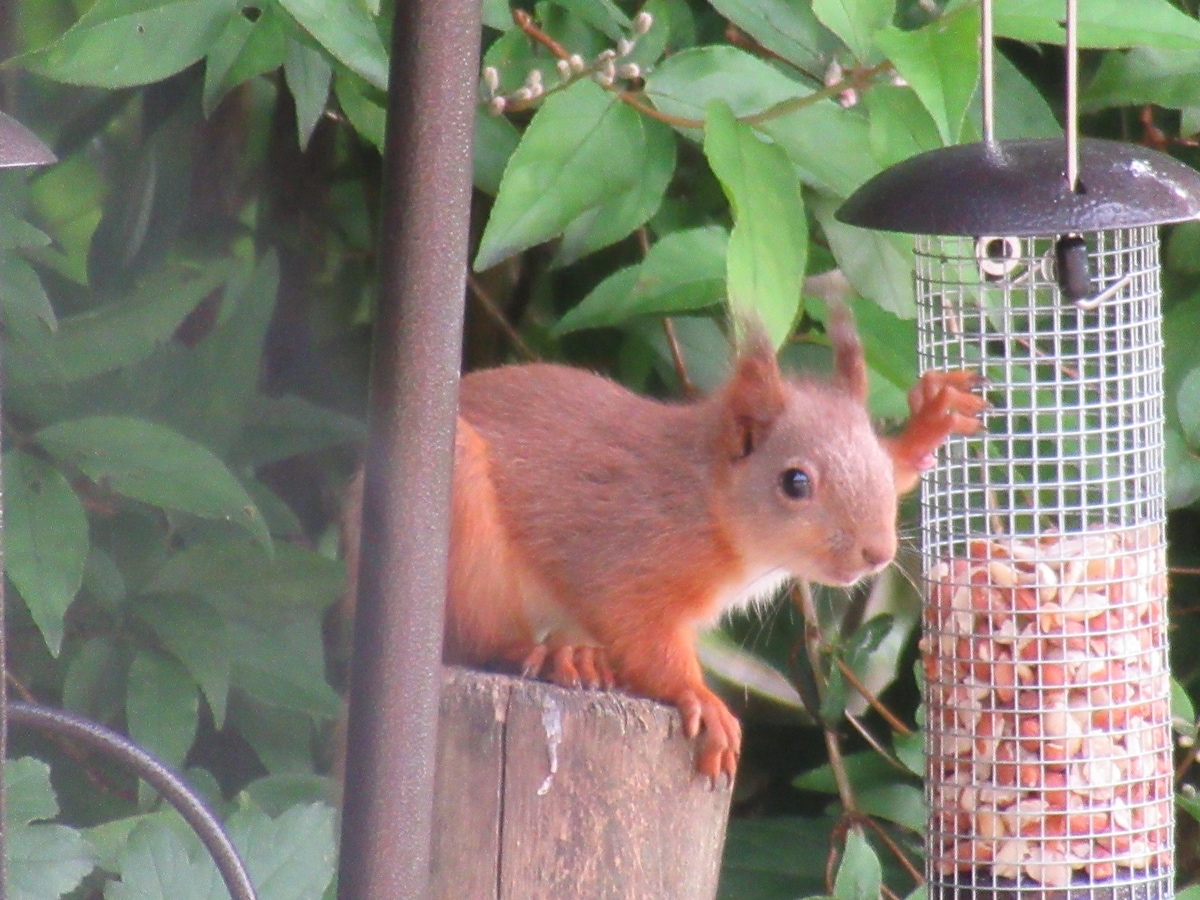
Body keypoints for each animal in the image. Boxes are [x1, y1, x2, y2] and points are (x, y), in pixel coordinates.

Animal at [339, 306, 985, 783]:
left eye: (877, 462)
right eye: (795, 483)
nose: (876, 554)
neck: (708, 501)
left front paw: (929, 422)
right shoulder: (633, 556)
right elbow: (643, 634)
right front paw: (700, 698)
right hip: (459, 516)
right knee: (472, 638)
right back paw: (547, 655)